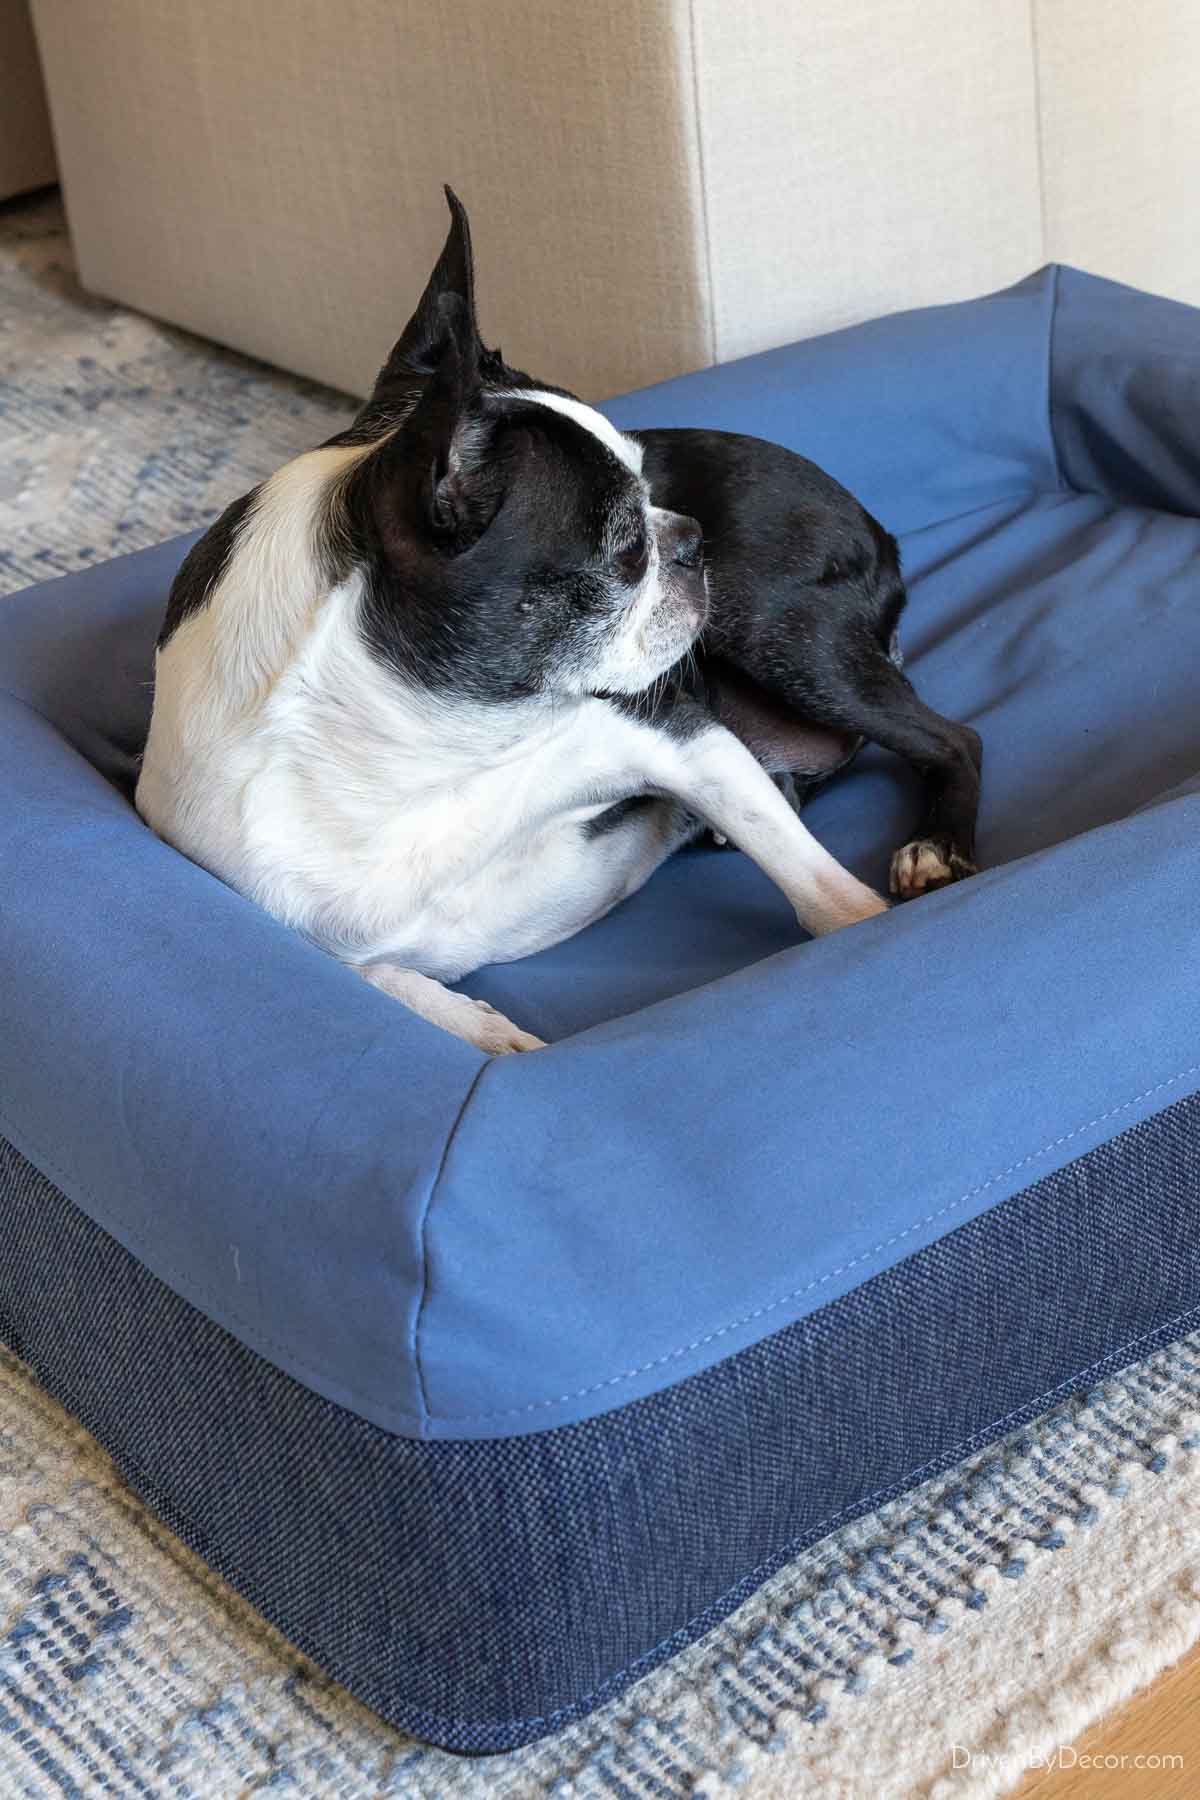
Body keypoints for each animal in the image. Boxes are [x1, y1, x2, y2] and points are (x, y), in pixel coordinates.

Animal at [135, 189, 978, 1051]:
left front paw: (871, 930)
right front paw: (486, 1031)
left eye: (650, 486)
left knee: (951, 738)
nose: (689, 538)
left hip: (779, 630)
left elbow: (813, 879)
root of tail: (880, 530)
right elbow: (383, 984)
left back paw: (934, 847)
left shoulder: (676, 734)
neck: (423, 759)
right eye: (626, 547)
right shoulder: (281, 912)